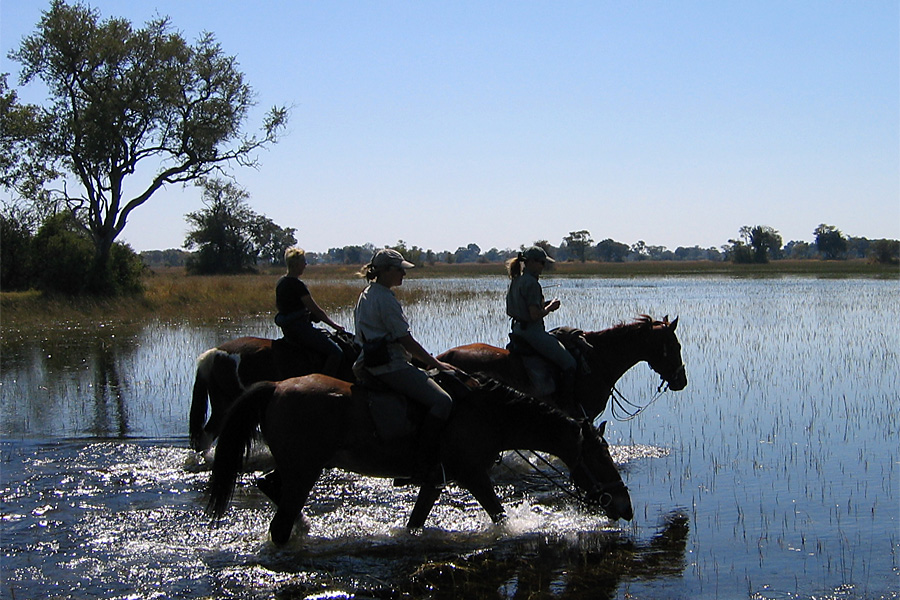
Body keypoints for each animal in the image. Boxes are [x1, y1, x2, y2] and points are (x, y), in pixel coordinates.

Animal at [210, 372, 632, 548]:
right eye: (600, 457)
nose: (625, 507)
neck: (489, 414)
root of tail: (276, 387)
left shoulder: (433, 481)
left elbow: (416, 522)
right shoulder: (473, 475)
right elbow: (500, 516)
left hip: (298, 467)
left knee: (268, 485)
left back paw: (304, 525)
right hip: (305, 470)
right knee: (279, 522)